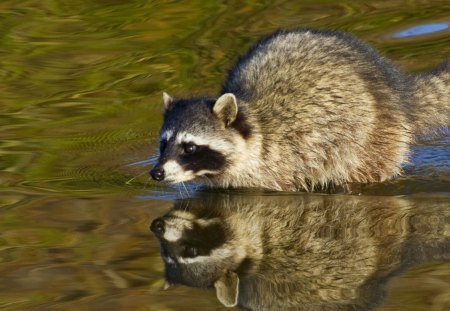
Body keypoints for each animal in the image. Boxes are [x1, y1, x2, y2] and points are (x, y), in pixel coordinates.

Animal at [151, 28, 450, 191]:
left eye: (190, 147)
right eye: (163, 144)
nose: (156, 173)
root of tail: (397, 89)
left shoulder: (288, 159)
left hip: (373, 134)